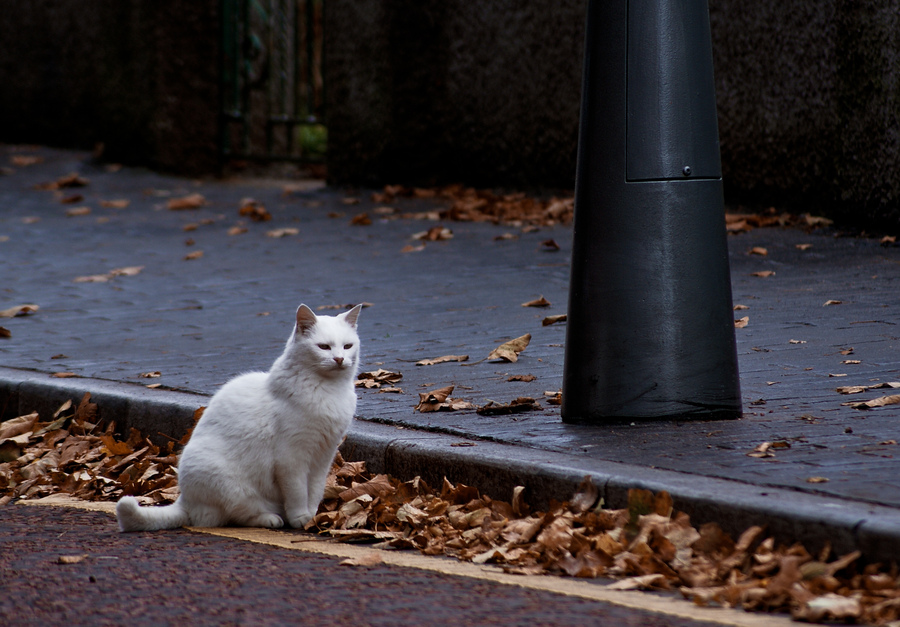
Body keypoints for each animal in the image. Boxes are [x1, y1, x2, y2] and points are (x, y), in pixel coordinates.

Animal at [116, 306, 362, 532]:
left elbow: (315, 491)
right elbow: (298, 492)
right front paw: (301, 518)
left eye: (347, 346)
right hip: (230, 485)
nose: (339, 358)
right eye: (324, 347)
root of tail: (184, 501)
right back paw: (271, 519)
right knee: (238, 515)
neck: (329, 390)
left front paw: (312, 517)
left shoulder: (323, 455)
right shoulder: (292, 459)